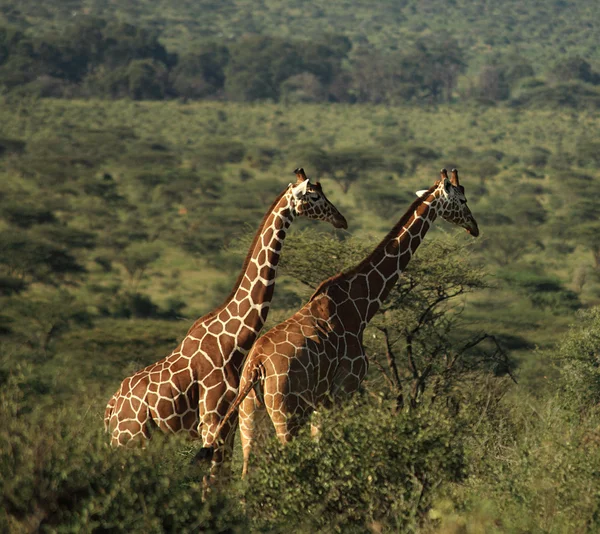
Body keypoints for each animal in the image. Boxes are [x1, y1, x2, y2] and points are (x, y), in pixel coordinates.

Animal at [103, 169, 346, 482]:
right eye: (314, 196)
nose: (342, 220)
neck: (233, 341)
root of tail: (111, 409)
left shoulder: (226, 425)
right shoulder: (213, 421)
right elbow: (213, 481)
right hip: (131, 440)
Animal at [209, 169, 480, 478]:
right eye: (462, 200)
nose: (474, 227)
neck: (361, 307)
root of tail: (256, 367)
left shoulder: (321, 402)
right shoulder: (344, 391)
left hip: (249, 415)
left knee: (245, 470)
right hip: (287, 413)